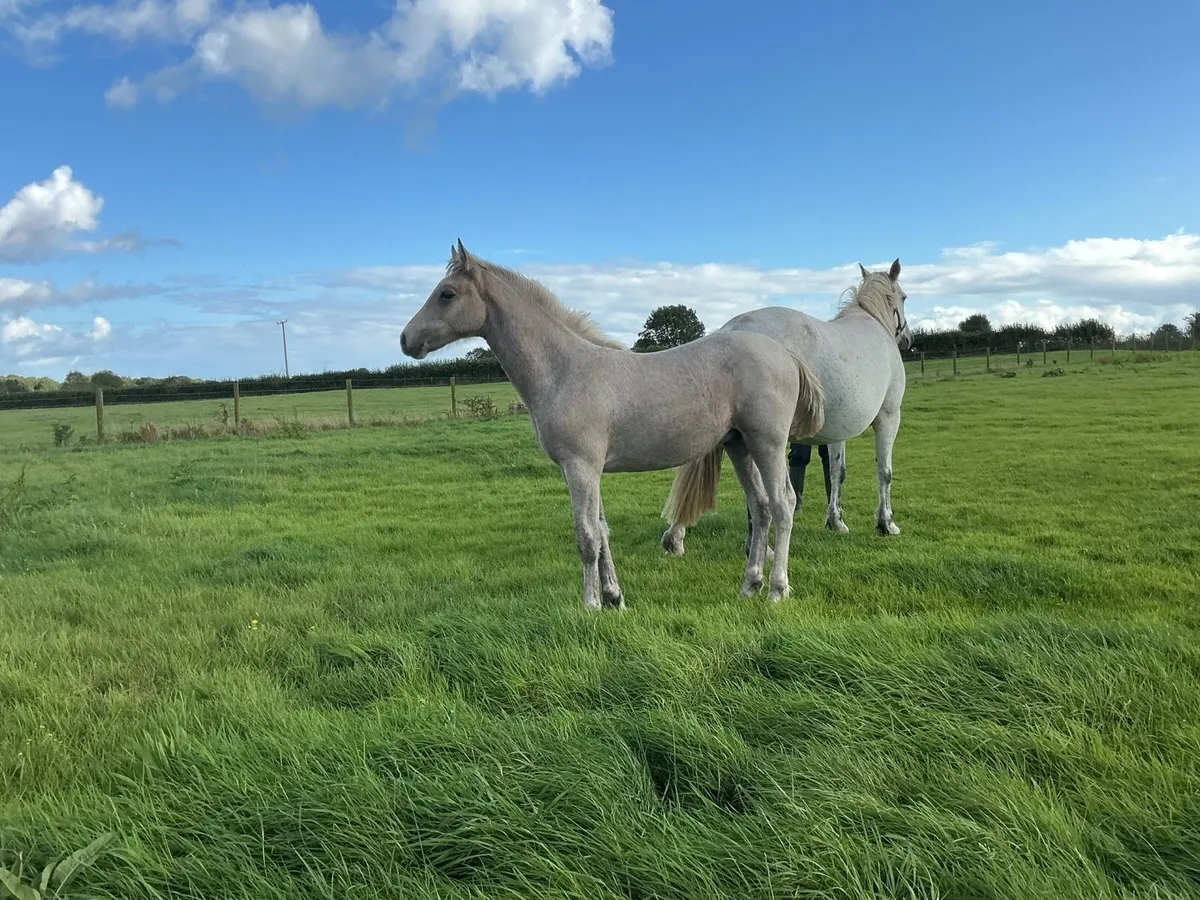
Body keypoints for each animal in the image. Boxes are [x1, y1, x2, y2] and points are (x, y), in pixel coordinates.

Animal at [399, 240, 825, 610]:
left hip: (767, 443)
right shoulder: (587, 470)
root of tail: (785, 354)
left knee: (783, 505)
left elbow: (587, 537)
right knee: (762, 506)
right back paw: (749, 585)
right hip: (739, 445)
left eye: (447, 294)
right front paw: (614, 598)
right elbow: (603, 532)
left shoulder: (580, 468)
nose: (406, 339)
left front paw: (589, 604)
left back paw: (776, 590)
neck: (564, 370)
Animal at [660, 259, 913, 557]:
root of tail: (731, 330)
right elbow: (884, 472)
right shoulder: (889, 417)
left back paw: (677, 537)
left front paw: (836, 521)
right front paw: (886, 524)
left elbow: (836, 473)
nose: (908, 338)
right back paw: (761, 548)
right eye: (904, 297)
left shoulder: (837, 432)